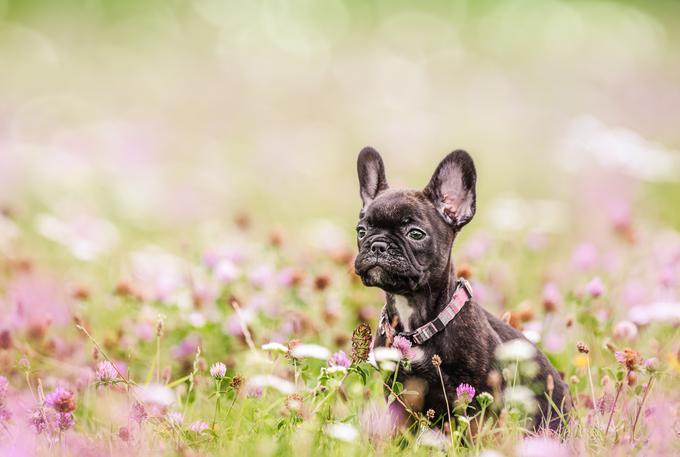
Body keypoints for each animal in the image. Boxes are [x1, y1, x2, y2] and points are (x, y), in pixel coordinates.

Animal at [354, 147, 572, 432]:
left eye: (415, 234)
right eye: (361, 231)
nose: (377, 245)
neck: (414, 324)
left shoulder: (478, 395)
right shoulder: (397, 391)